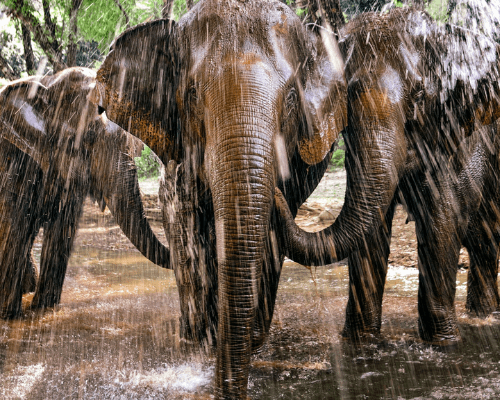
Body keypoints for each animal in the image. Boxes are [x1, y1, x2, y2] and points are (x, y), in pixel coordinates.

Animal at [0, 67, 170, 320]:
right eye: (87, 139)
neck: (50, 83)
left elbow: (61, 229)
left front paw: (44, 310)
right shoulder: (17, 158)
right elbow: (16, 224)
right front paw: (10, 317)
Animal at [91, 0, 348, 396]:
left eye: (292, 98)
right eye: (192, 95)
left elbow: (269, 237)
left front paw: (248, 339)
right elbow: (190, 226)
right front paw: (205, 342)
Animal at [274, 7, 500, 346]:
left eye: (418, 95)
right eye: (348, 98)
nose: (276, 194)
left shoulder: (462, 131)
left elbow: (444, 216)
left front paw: (444, 343)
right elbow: (372, 226)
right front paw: (360, 342)